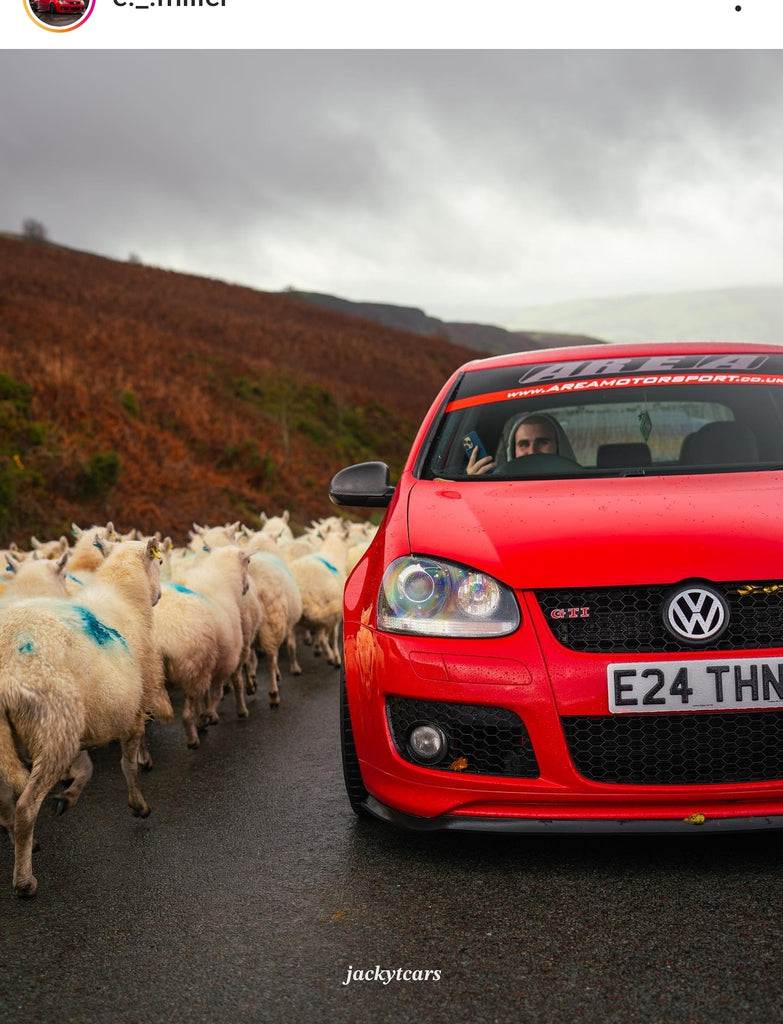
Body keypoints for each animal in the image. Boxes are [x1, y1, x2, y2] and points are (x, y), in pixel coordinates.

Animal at [0, 536, 163, 897]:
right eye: (160, 562)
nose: (160, 595)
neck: (125, 598)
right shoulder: (132, 712)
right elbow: (128, 766)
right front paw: (138, 806)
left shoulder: (81, 726)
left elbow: (87, 769)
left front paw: (67, 798)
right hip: (53, 725)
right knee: (25, 807)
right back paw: (25, 882)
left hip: (46, 732)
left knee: (4, 803)